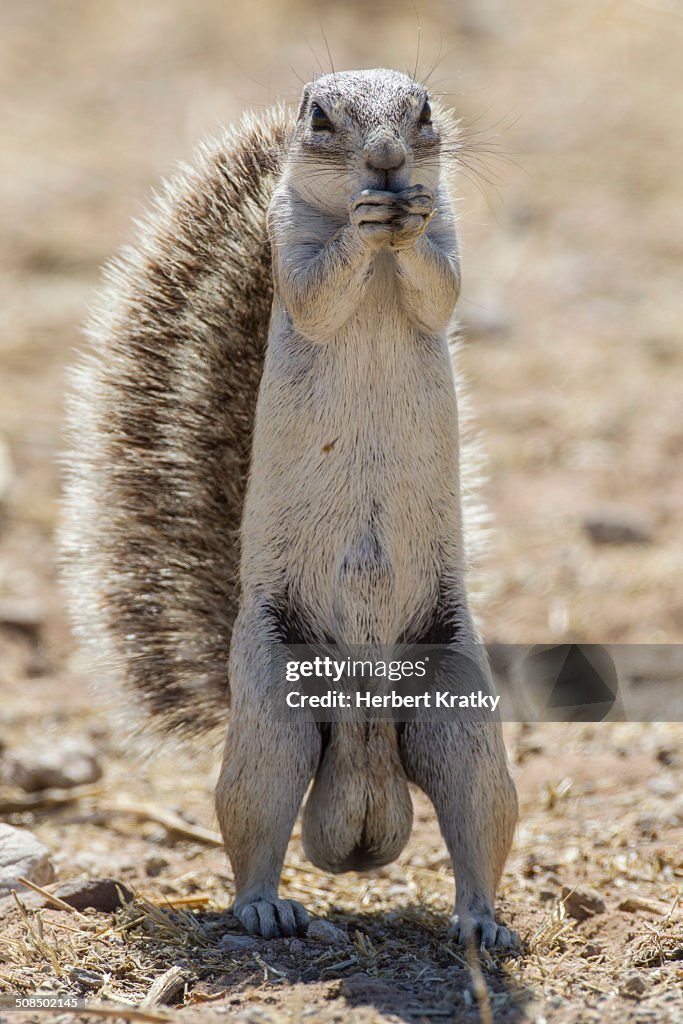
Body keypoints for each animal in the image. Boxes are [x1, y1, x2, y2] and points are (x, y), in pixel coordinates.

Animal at [61, 68, 518, 948]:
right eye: (318, 117)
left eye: (423, 110)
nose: (386, 161)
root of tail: (361, 782)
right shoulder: (288, 246)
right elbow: (315, 290)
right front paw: (362, 232)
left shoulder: (447, 236)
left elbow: (439, 287)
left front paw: (406, 220)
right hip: (273, 712)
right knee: (256, 818)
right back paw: (265, 906)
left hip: (459, 713)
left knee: (476, 811)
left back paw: (482, 921)